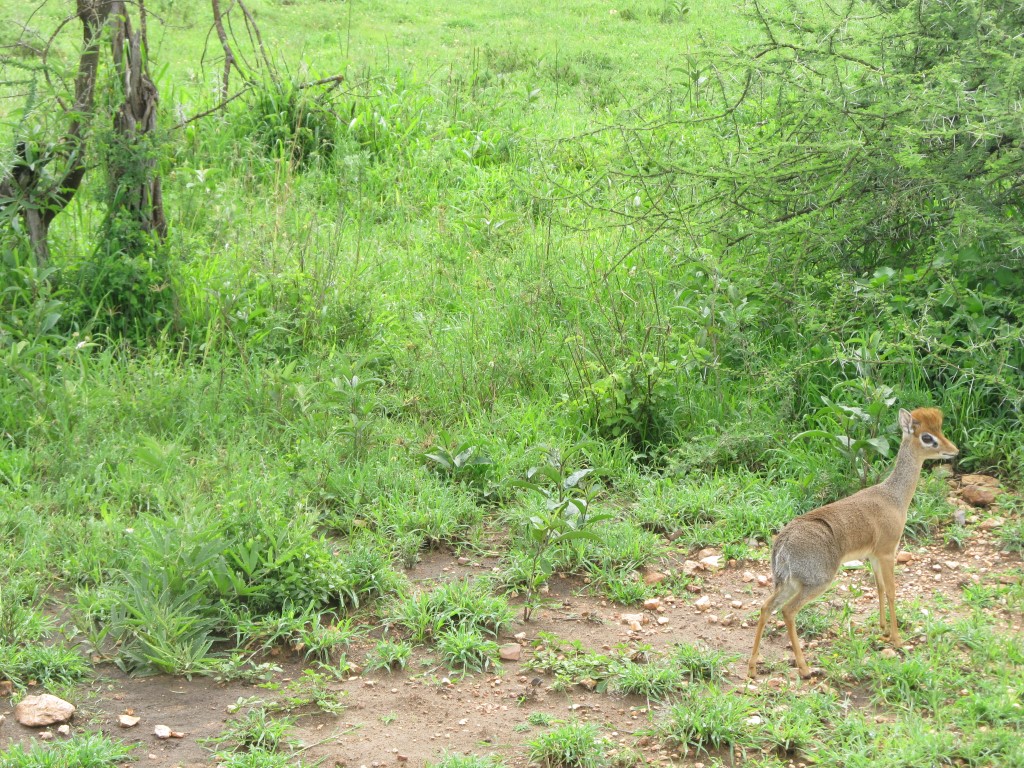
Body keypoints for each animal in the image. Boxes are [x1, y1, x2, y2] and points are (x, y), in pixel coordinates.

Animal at [747, 407, 959, 679]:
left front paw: (883, 629)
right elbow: (892, 591)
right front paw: (897, 639)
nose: (954, 450)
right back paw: (804, 668)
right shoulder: (888, 551)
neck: (894, 497)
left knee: (766, 607)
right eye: (927, 437)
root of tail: (782, 542)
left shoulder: (874, 556)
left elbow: (879, 588)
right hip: (817, 582)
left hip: (789, 582)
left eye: (940, 431)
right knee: (788, 611)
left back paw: (752, 668)